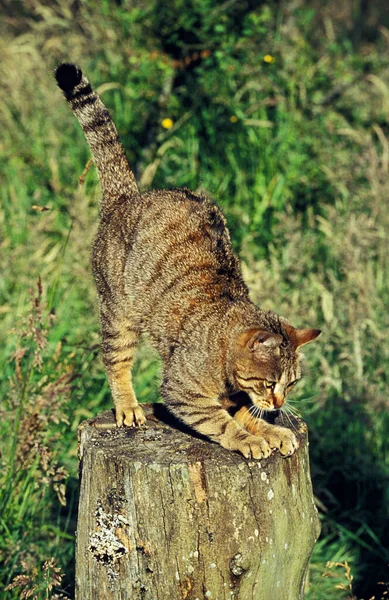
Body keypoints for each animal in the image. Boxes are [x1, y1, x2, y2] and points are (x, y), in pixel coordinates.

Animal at [55, 63, 322, 460]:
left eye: (291, 384)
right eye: (270, 381)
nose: (278, 404)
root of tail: (128, 198)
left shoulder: (236, 397)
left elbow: (244, 411)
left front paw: (269, 429)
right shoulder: (181, 390)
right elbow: (220, 421)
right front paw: (250, 438)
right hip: (119, 313)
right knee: (116, 361)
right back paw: (128, 407)